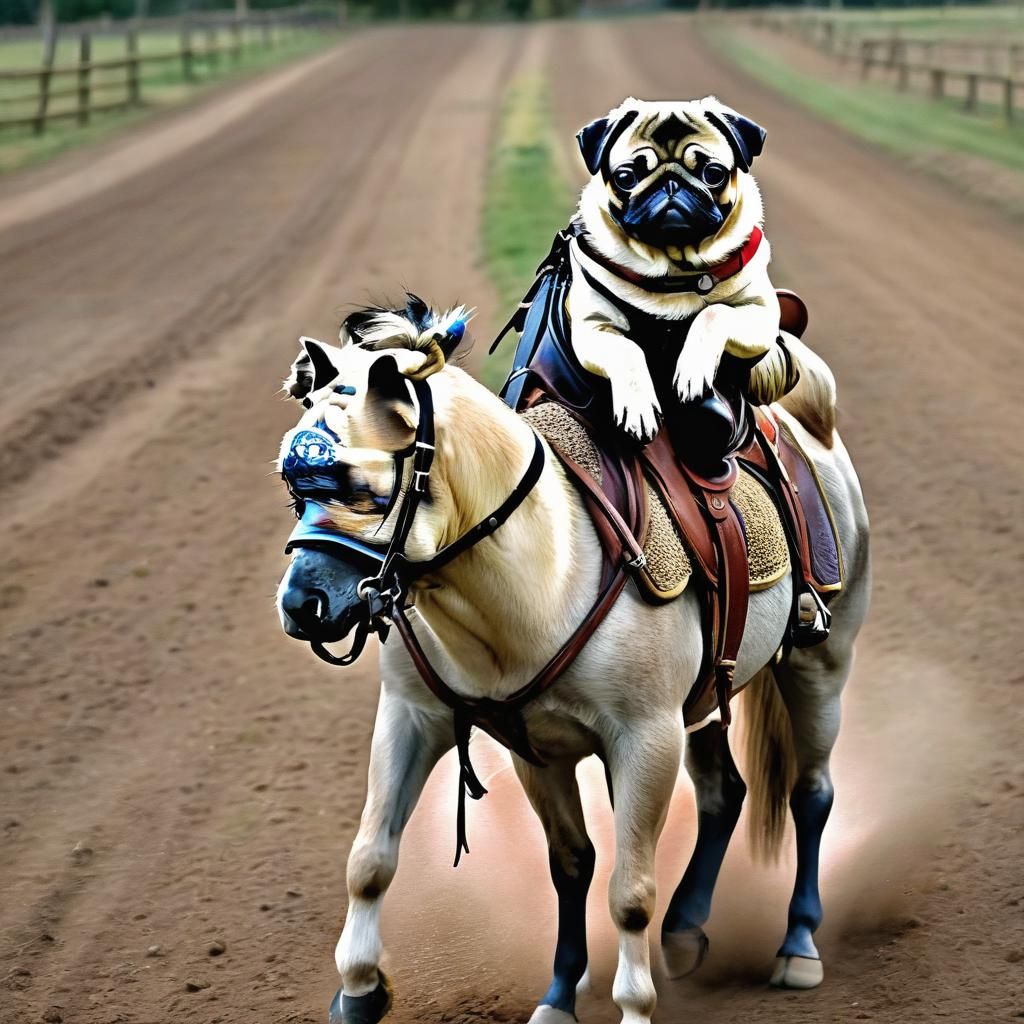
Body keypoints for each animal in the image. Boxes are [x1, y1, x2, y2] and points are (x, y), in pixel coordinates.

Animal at [274, 301, 870, 1024]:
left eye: (364, 489)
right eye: (293, 487)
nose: (301, 606)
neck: (542, 572)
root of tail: (813, 421)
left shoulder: (645, 736)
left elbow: (629, 892)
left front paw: (632, 1006)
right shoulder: (458, 727)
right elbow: (390, 858)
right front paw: (369, 991)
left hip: (819, 666)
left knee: (811, 793)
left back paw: (798, 944)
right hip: (702, 702)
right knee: (724, 793)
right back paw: (685, 931)